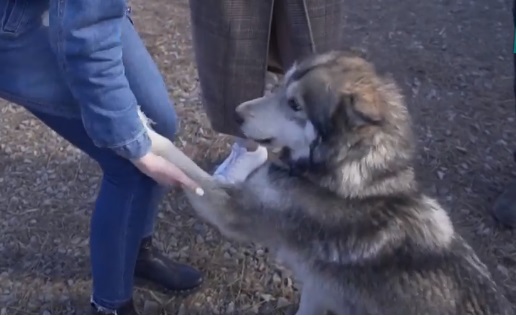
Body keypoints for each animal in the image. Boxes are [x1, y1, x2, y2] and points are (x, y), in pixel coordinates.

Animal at [139, 50, 512, 312]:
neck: (348, 185)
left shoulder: (231, 211)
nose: (236, 113)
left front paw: (143, 129)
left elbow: (179, 159)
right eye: (282, 84)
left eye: (294, 104)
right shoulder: (317, 291)